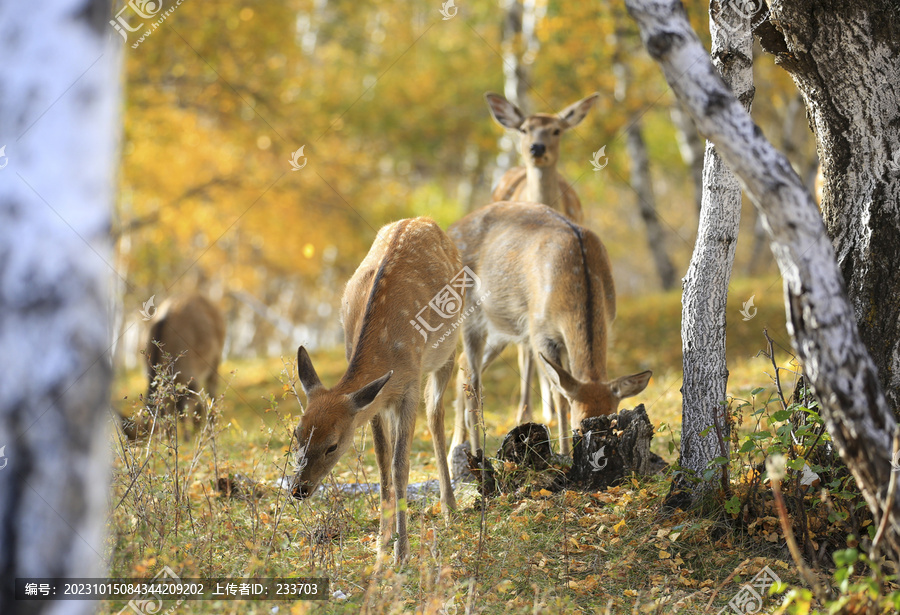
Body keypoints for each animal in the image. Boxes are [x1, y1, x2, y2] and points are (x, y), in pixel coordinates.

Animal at [294, 218, 464, 568]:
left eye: (332, 446)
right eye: (296, 433)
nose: (298, 490)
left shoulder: (410, 383)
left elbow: (400, 467)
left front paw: (402, 553)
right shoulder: (375, 399)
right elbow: (382, 461)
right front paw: (382, 543)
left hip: (449, 349)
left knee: (436, 412)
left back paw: (450, 508)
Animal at [448, 205, 648, 454]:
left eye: (614, 423)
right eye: (579, 427)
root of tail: (451, 229)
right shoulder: (539, 331)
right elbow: (559, 395)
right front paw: (563, 452)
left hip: (501, 329)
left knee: (463, 363)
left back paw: (456, 446)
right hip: (469, 314)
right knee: (472, 375)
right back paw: (473, 451)